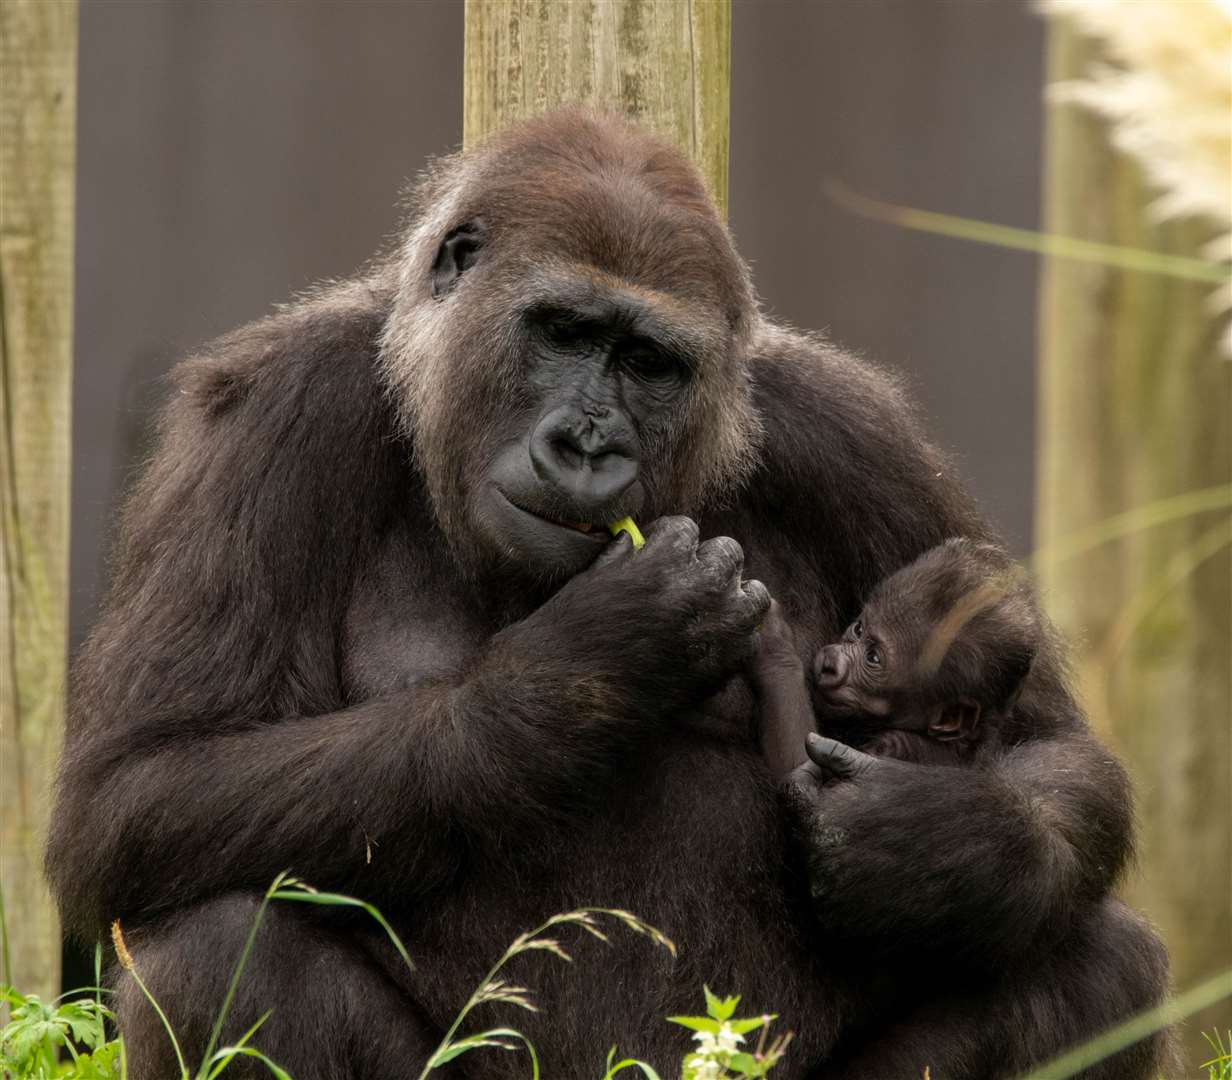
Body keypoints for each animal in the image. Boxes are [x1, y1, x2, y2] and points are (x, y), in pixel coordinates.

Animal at [749, 536, 1039, 773]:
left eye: (873, 658)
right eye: (858, 629)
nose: (830, 664)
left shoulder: (896, 745)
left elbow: (802, 770)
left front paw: (775, 644)